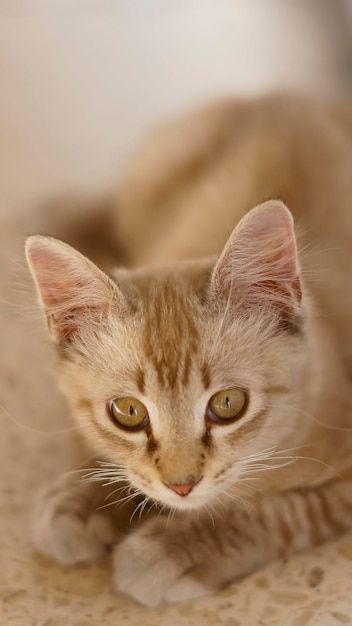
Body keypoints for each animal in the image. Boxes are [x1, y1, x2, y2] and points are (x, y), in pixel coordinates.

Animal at [26, 94, 352, 604]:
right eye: (128, 412)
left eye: (228, 404)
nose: (181, 486)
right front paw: (80, 498)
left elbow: (283, 513)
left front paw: (179, 548)